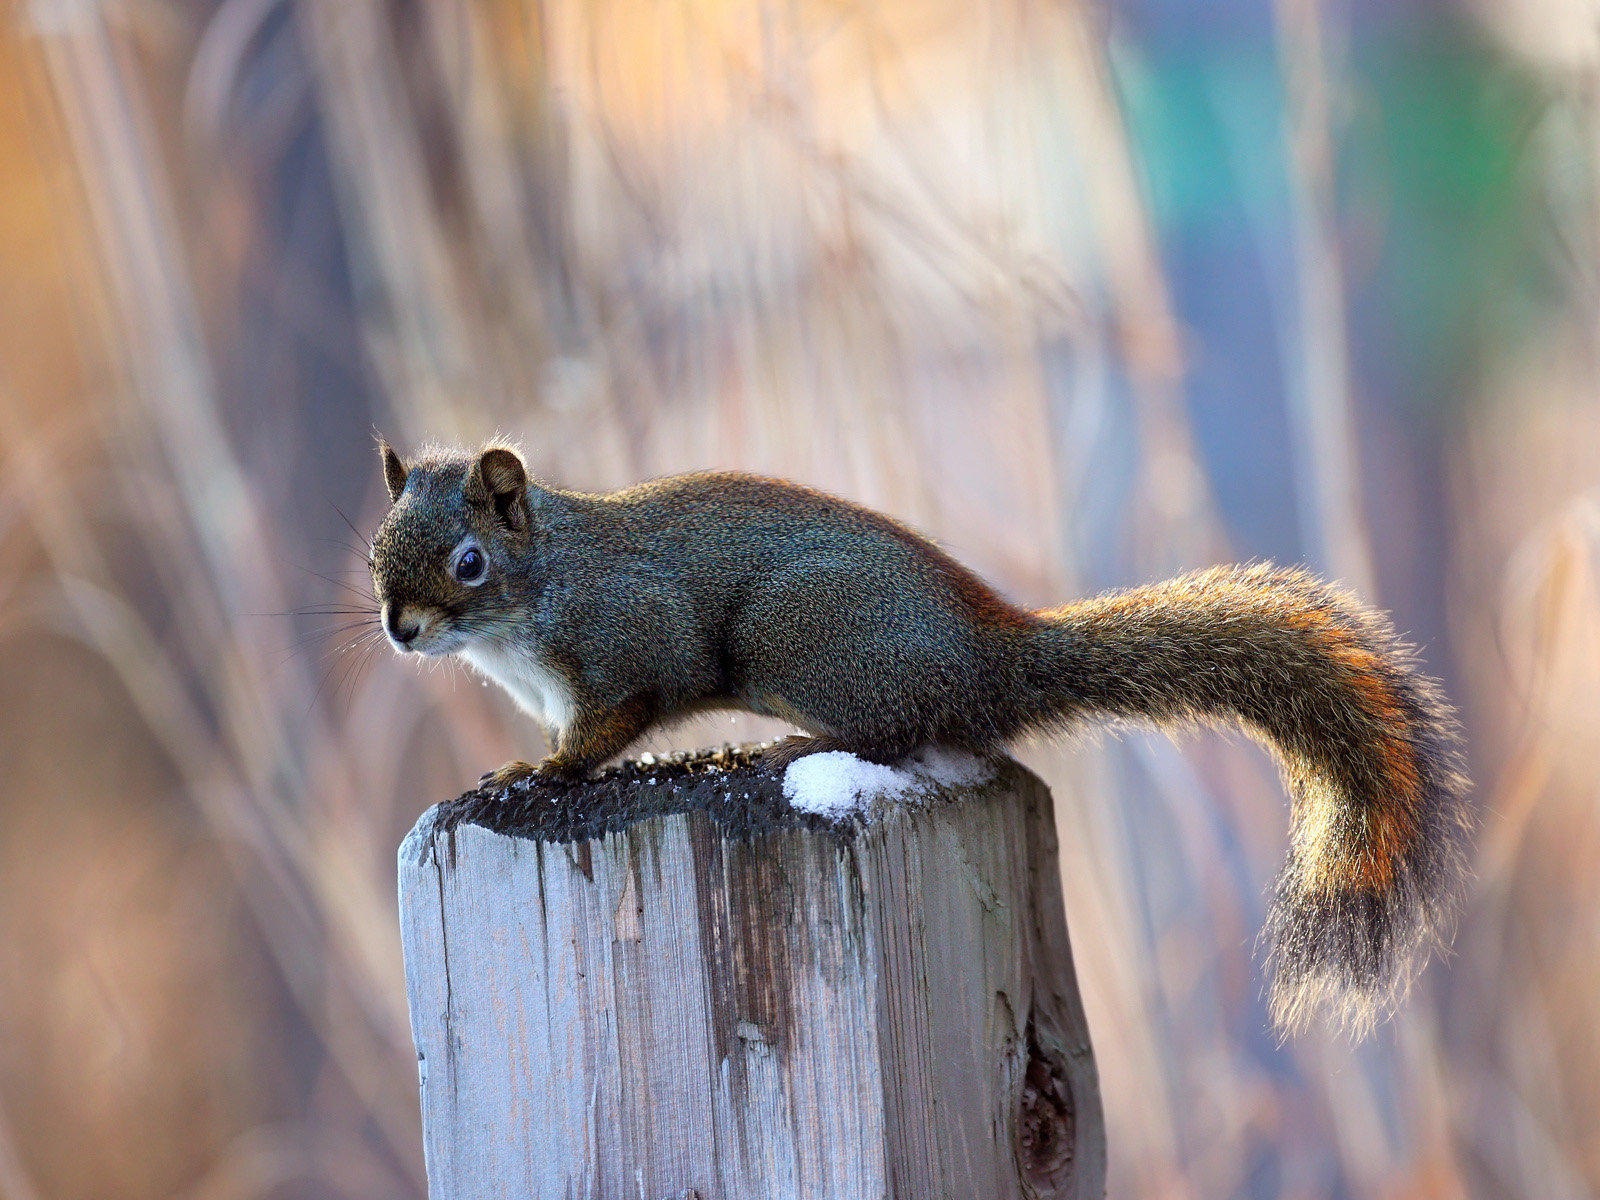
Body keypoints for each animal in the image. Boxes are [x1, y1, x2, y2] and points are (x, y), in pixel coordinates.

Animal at [368, 438, 1465, 1036]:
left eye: (468, 562)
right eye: (377, 552)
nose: (398, 629)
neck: (534, 599)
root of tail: (990, 656)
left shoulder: (630, 646)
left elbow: (610, 726)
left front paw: (537, 772)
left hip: (799, 637)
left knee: (900, 731)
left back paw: (789, 754)